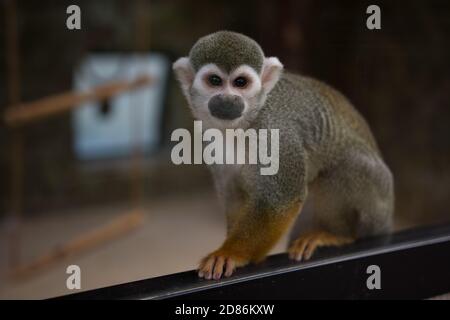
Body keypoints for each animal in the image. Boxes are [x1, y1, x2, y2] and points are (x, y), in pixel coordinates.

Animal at [172, 30, 394, 280]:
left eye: (240, 83)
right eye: (215, 81)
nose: (228, 100)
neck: (244, 123)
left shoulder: (275, 133)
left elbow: (279, 201)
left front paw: (232, 253)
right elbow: (234, 195)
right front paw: (239, 249)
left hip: (377, 205)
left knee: (343, 168)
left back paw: (337, 235)